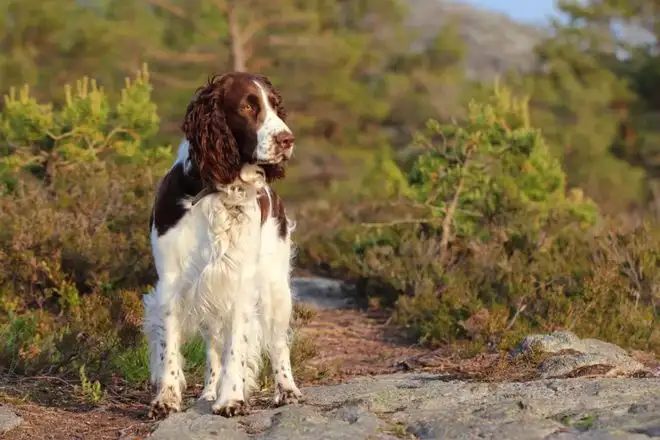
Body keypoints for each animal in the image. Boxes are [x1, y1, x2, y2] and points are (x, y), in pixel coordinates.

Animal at [144, 72, 302, 420]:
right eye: (247, 106)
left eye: (275, 105)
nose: (287, 139)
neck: (217, 188)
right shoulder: (173, 282)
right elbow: (170, 347)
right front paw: (167, 398)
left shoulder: (240, 281)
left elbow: (237, 348)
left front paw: (231, 398)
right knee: (212, 345)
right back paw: (208, 391)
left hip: (275, 286)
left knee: (278, 344)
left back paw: (287, 390)